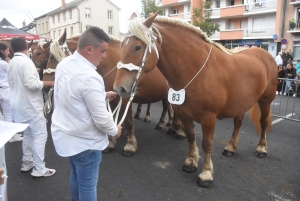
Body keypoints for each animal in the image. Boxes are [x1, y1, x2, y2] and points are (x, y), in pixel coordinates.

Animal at [31, 31, 184, 157]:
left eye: (51, 56)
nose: (46, 84)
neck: (113, 65)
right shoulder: (110, 97)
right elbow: (110, 117)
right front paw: (111, 143)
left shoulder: (125, 98)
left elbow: (128, 122)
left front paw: (130, 145)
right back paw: (168, 125)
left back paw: (178, 130)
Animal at [113, 13, 278, 188]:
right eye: (122, 45)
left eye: (138, 47)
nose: (119, 88)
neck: (197, 69)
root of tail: (266, 54)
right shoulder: (183, 114)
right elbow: (191, 136)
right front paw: (191, 162)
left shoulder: (209, 118)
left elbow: (207, 144)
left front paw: (206, 174)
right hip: (240, 103)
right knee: (238, 123)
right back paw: (231, 147)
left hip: (265, 101)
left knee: (263, 122)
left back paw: (261, 148)